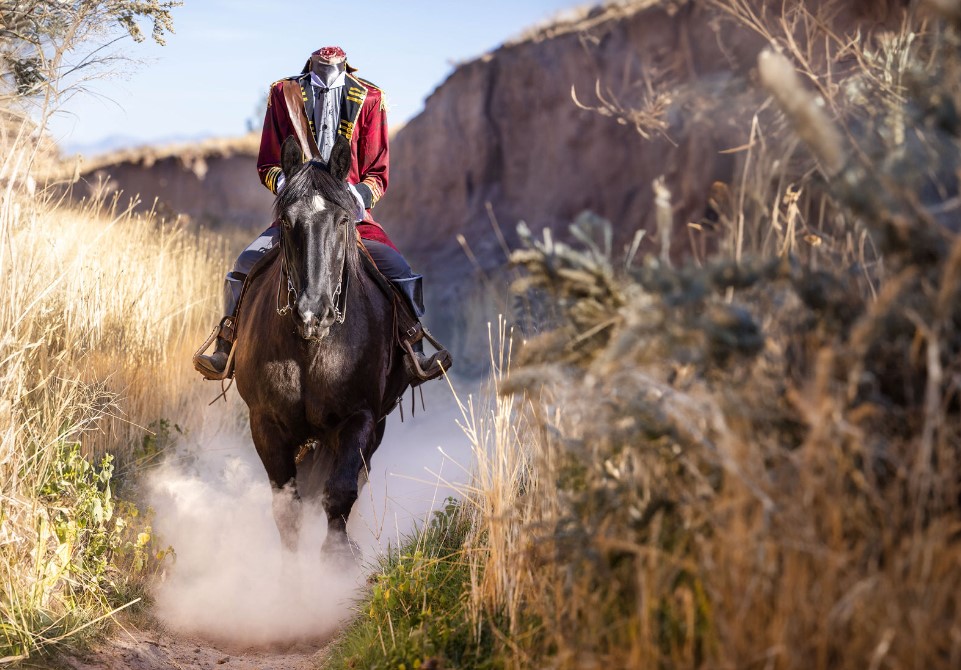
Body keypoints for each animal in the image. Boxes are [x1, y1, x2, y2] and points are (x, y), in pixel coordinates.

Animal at [237, 135, 408, 556]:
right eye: (286, 220)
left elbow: (341, 492)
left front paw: (338, 559)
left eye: (344, 220)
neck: (310, 350)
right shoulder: (265, 422)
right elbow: (287, 508)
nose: (314, 312)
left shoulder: (359, 417)